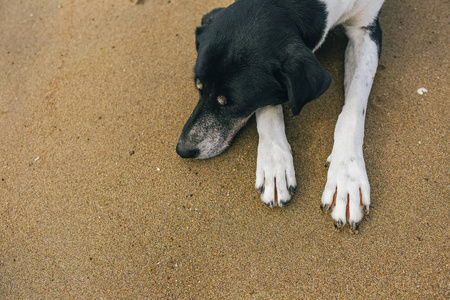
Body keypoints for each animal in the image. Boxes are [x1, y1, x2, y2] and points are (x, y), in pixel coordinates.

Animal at [176, 0, 384, 230]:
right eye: (199, 88)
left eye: (233, 104)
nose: (183, 149)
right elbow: (269, 104)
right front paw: (274, 163)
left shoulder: (366, 29)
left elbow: (354, 106)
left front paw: (347, 175)